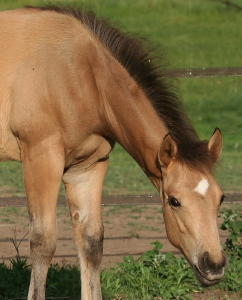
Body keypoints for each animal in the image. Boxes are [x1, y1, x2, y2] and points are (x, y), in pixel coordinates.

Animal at [0, 5, 227, 300]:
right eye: (174, 200)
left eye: (221, 198)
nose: (214, 265)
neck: (77, 72)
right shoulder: (41, 157)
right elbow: (43, 241)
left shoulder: (88, 166)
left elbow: (91, 240)